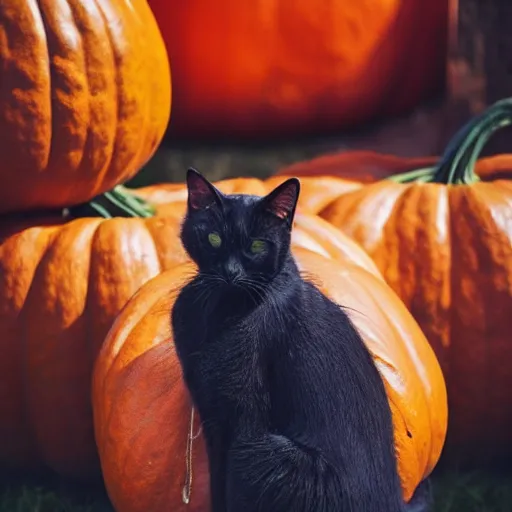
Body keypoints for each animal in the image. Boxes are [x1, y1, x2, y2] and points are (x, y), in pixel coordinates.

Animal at [171, 169, 428, 512]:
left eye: (256, 245)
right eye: (214, 239)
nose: (230, 272)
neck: (224, 306)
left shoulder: (242, 416)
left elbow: (226, 491)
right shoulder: (212, 413)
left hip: (258, 453)